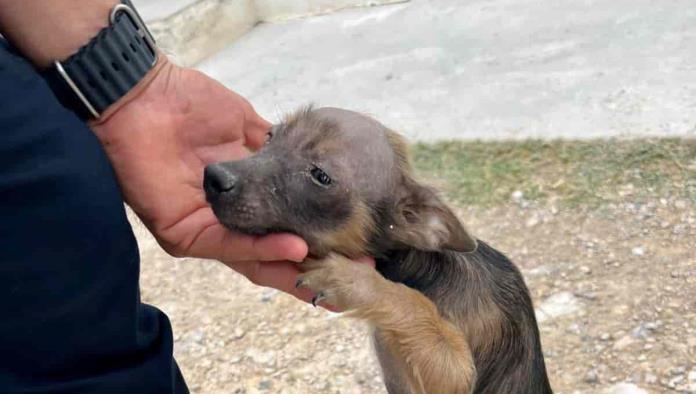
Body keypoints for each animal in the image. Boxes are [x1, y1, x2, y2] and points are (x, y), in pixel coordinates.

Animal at [203, 106, 556, 392]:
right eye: (270, 136)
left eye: (320, 176)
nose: (213, 176)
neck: (422, 270)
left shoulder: (456, 377)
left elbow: (414, 303)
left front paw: (350, 281)